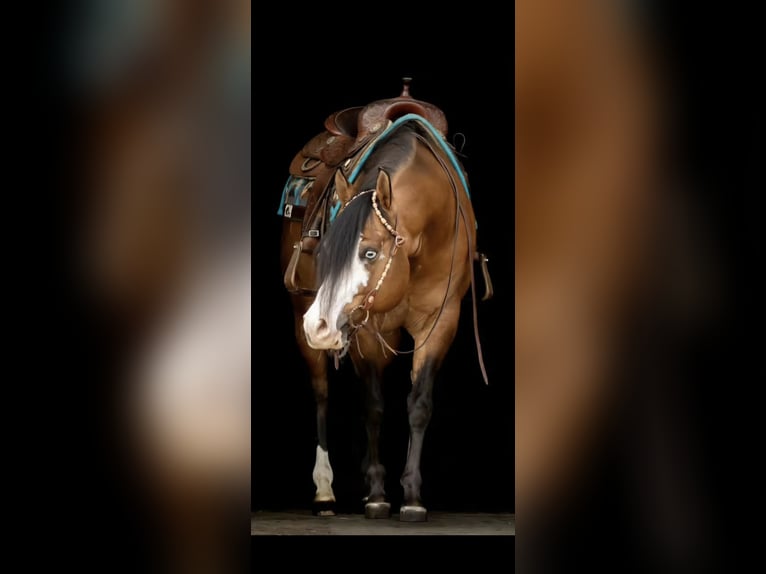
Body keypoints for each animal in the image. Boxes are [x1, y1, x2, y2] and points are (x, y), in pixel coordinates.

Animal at [278, 82, 491, 521]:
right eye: (325, 252)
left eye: (370, 253)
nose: (319, 326)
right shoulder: (365, 325)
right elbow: (373, 405)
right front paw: (377, 495)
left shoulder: (441, 320)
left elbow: (419, 403)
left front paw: (411, 498)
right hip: (301, 316)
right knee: (322, 392)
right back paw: (325, 493)